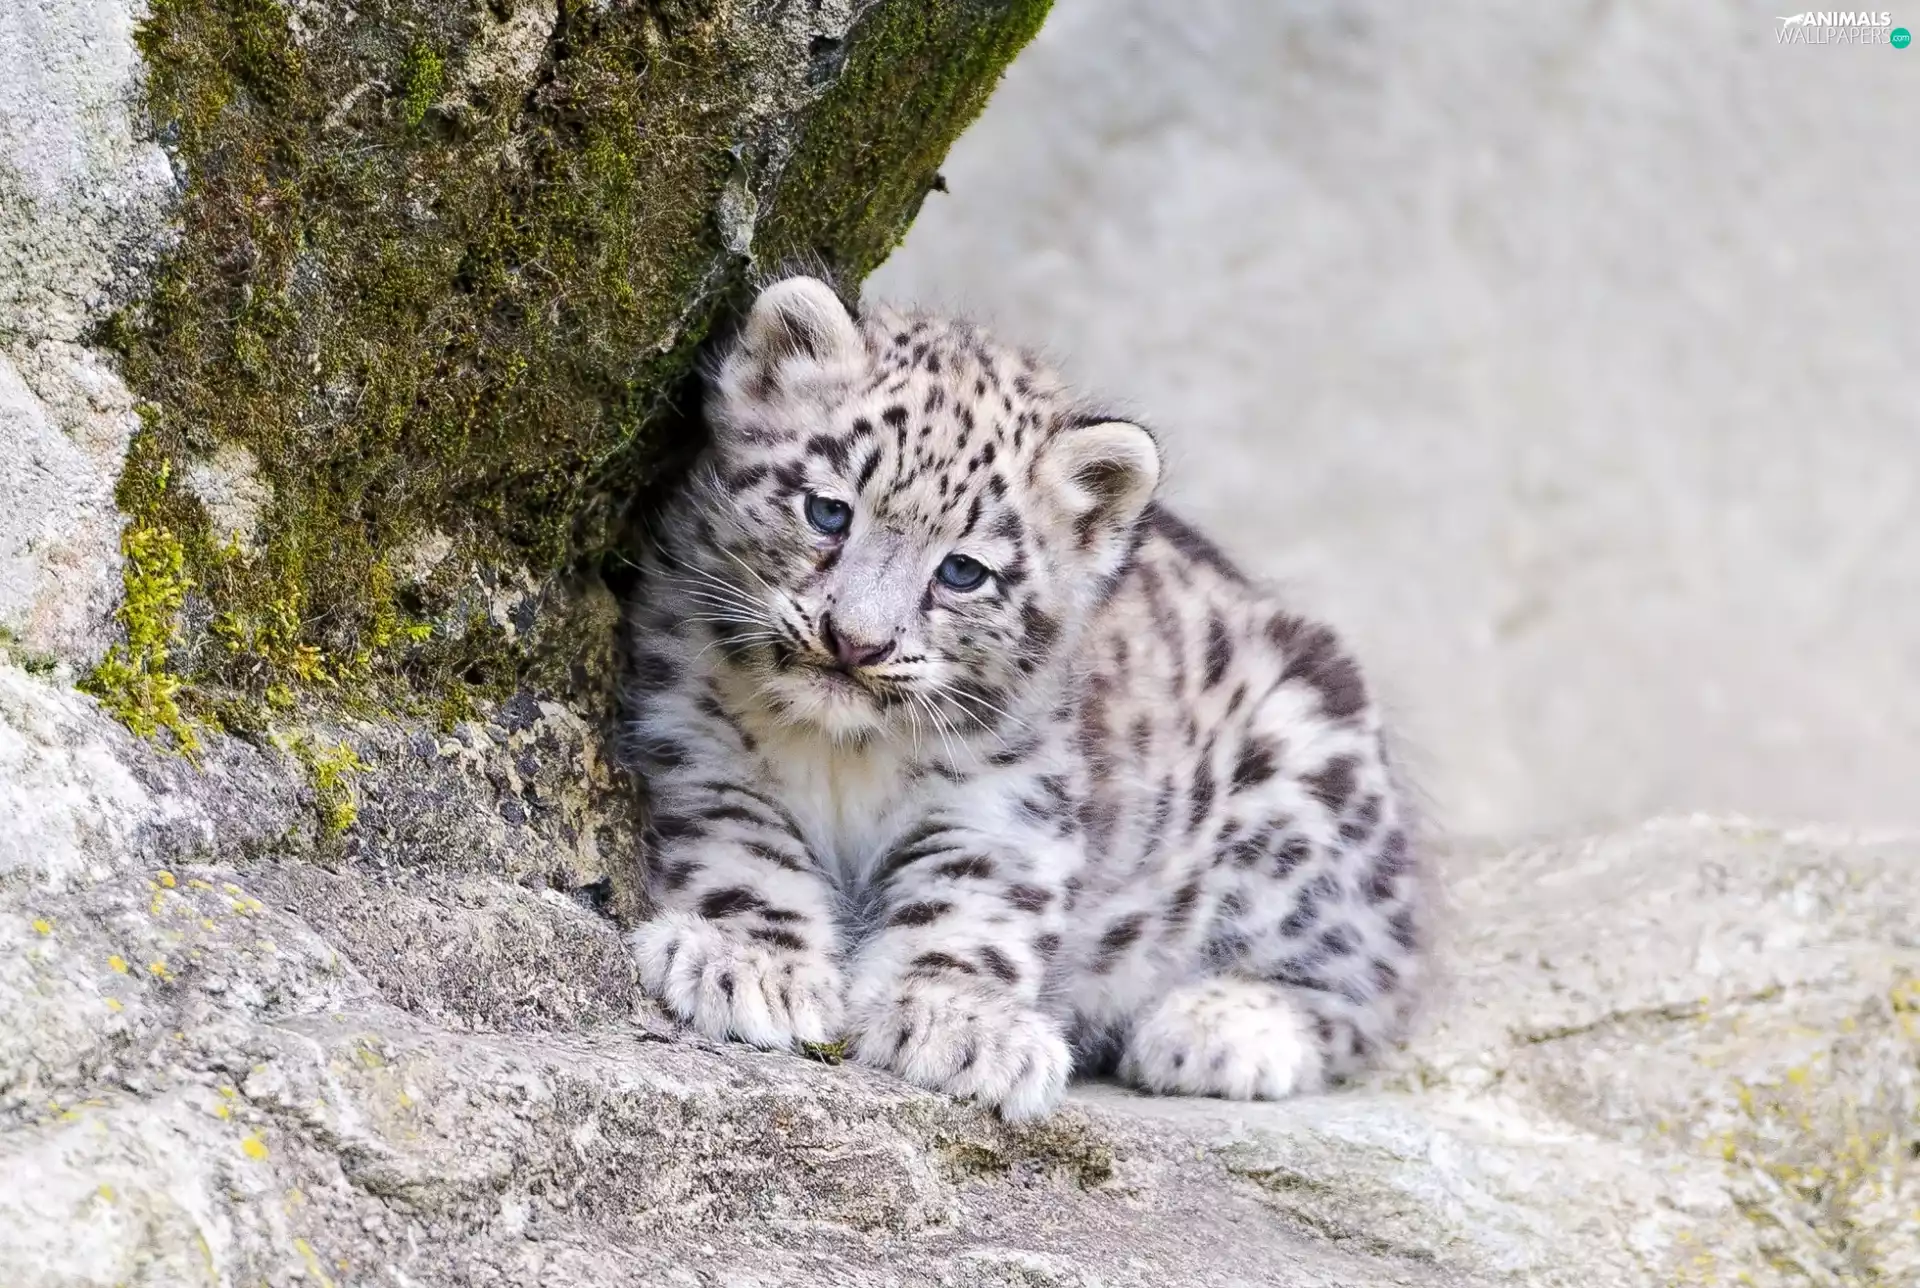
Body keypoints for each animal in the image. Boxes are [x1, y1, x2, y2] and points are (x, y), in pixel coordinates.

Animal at [621, 275, 1427, 1120]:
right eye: (828, 511)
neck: (844, 751)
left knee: (1371, 973)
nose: (856, 642)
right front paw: (750, 965)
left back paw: (1220, 1030)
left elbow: (968, 909)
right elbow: (746, 853)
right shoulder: (698, 743)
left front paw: (957, 1025)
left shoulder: (1003, 806)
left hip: (1308, 787)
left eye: (963, 571)